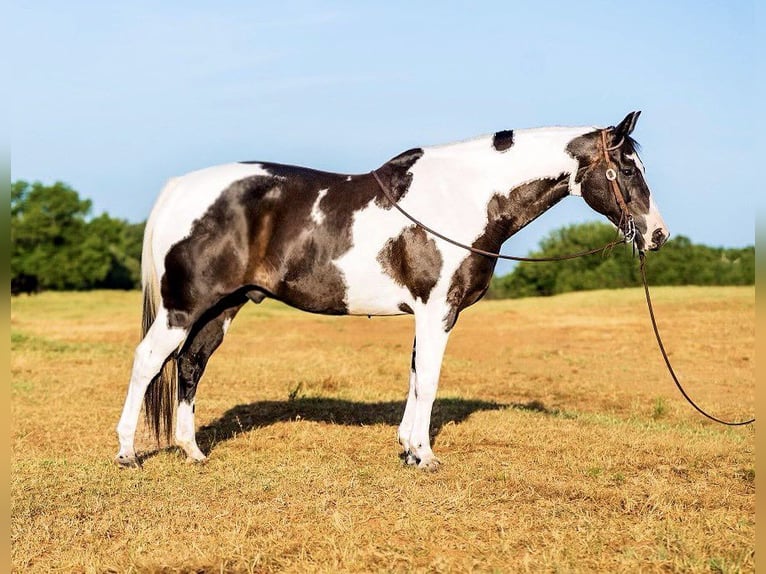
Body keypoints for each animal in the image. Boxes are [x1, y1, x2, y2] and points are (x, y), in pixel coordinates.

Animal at [115, 111, 672, 472]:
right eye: (626, 169)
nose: (658, 235)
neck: (463, 197)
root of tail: (180, 188)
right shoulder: (438, 310)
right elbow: (428, 380)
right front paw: (424, 456)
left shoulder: (428, 314)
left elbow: (415, 376)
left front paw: (407, 447)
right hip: (183, 307)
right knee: (148, 361)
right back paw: (127, 454)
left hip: (222, 307)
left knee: (190, 365)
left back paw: (192, 452)